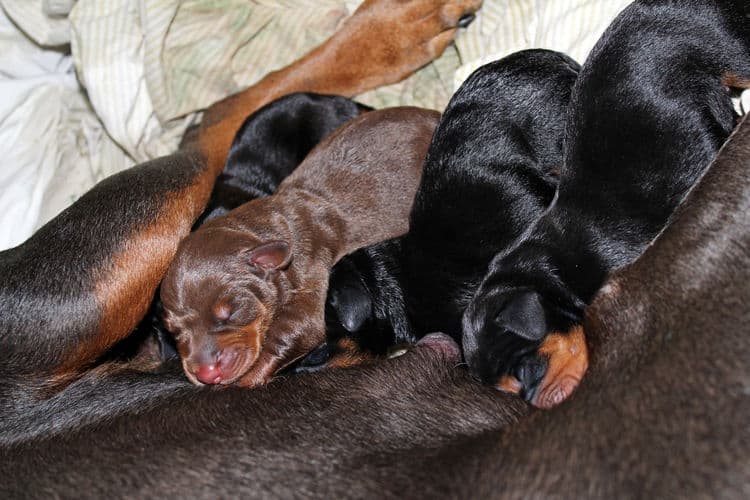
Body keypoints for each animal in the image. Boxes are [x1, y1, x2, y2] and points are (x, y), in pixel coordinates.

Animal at [160, 106, 440, 386]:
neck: (260, 227)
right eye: (174, 330)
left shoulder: (310, 276)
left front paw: (247, 379)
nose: (207, 374)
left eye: (231, 312)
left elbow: (293, 332)